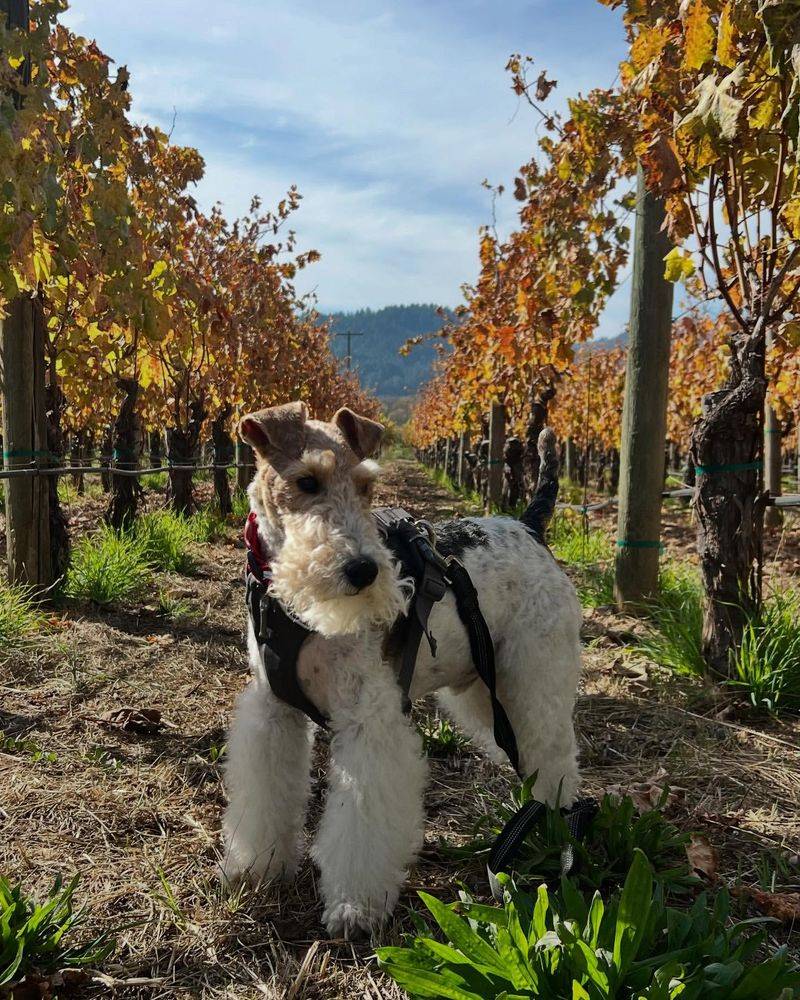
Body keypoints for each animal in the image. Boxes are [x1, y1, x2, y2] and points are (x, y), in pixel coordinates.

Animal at [220, 398, 580, 936]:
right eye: (307, 482)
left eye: (367, 485)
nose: (363, 571)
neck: (286, 605)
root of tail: (528, 527)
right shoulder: (273, 711)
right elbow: (267, 793)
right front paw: (257, 867)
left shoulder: (368, 720)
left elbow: (361, 816)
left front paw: (354, 907)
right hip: (485, 683)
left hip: (537, 676)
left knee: (556, 756)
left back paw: (556, 828)